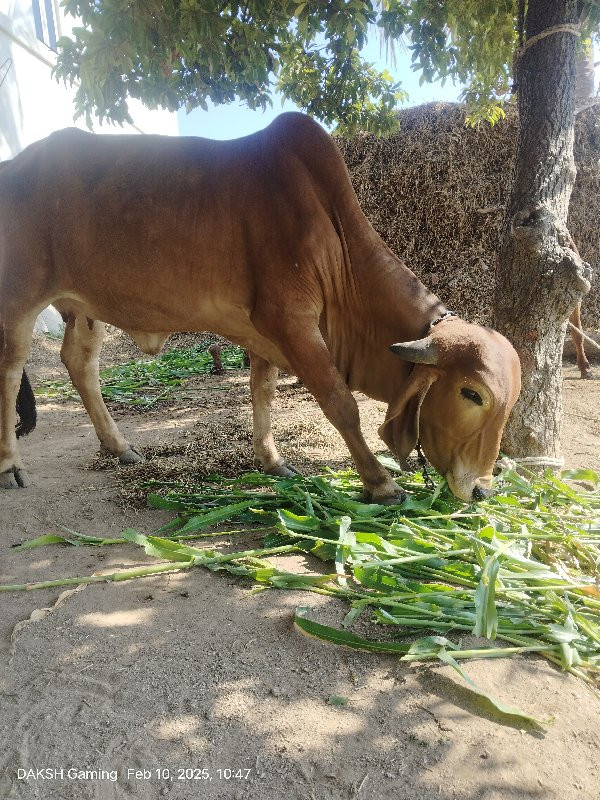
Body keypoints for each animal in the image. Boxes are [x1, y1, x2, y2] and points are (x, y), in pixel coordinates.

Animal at [0, 114, 520, 500]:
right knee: (10, 370)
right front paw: (380, 482)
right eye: (472, 394)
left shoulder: (265, 333)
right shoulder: (291, 321)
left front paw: (271, 460)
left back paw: (118, 446)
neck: (335, 240)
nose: (483, 490)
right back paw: (10, 466)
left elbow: (263, 391)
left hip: (83, 307)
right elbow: (340, 403)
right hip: (19, 299)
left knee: (79, 363)